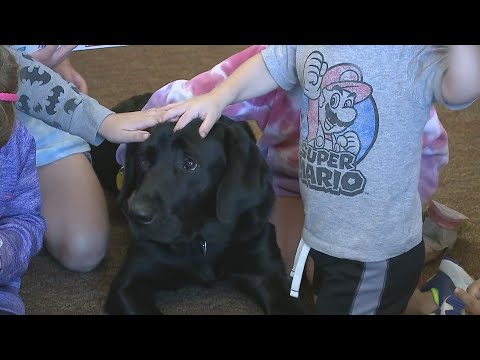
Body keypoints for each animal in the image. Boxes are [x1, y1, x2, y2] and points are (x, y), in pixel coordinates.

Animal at [104, 116, 302, 314]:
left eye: (190, 164)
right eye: (144, 160)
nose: (136, 215)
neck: (202, 237)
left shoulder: (268, 273)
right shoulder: (128, 284)